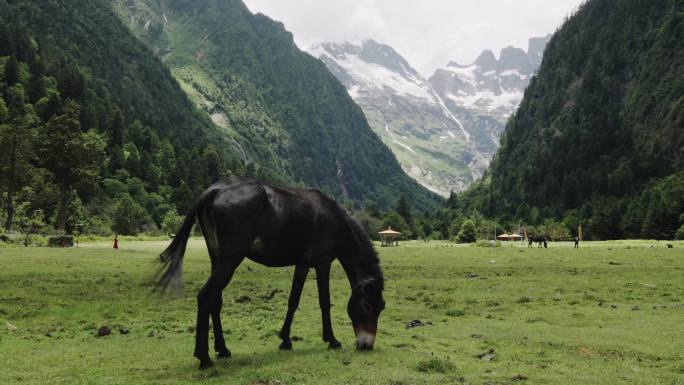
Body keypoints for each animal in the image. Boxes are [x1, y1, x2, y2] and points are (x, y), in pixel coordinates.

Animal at [158, 177, 388, 368]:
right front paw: (331, 339)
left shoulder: (302, 265)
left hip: (217, 258)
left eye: (381, 307)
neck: (334, 220)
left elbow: (293, 301)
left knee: (215, 300)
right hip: (230, 260)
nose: (366, 344)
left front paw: (285, 340)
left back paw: (222, 350)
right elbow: (324, 302)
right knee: (205, 297)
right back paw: (204, 357)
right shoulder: (323, 263)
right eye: (367, 305)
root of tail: (215, 190)